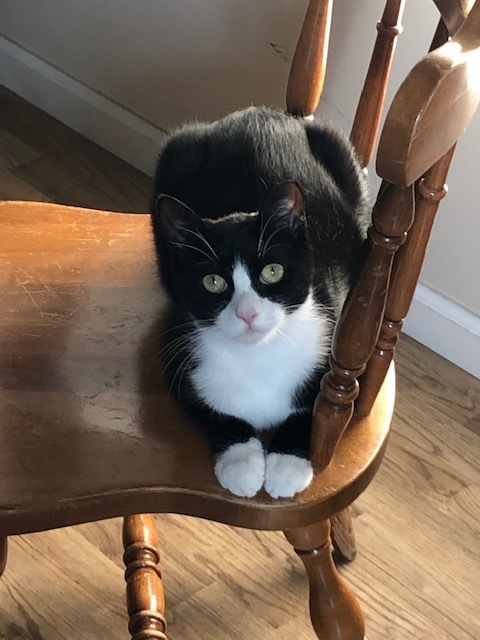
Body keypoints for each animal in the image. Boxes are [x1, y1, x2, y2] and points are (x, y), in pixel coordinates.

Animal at [152, 105, 370, 500]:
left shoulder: (343, 342)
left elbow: (317, 410)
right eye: (212, 281)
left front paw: (286, 466)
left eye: (272, 270)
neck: (257, 356)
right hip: (174, 153)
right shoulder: (177, 346)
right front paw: (241, 463)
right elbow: (209, 409)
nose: (248, 313)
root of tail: (259, 112)